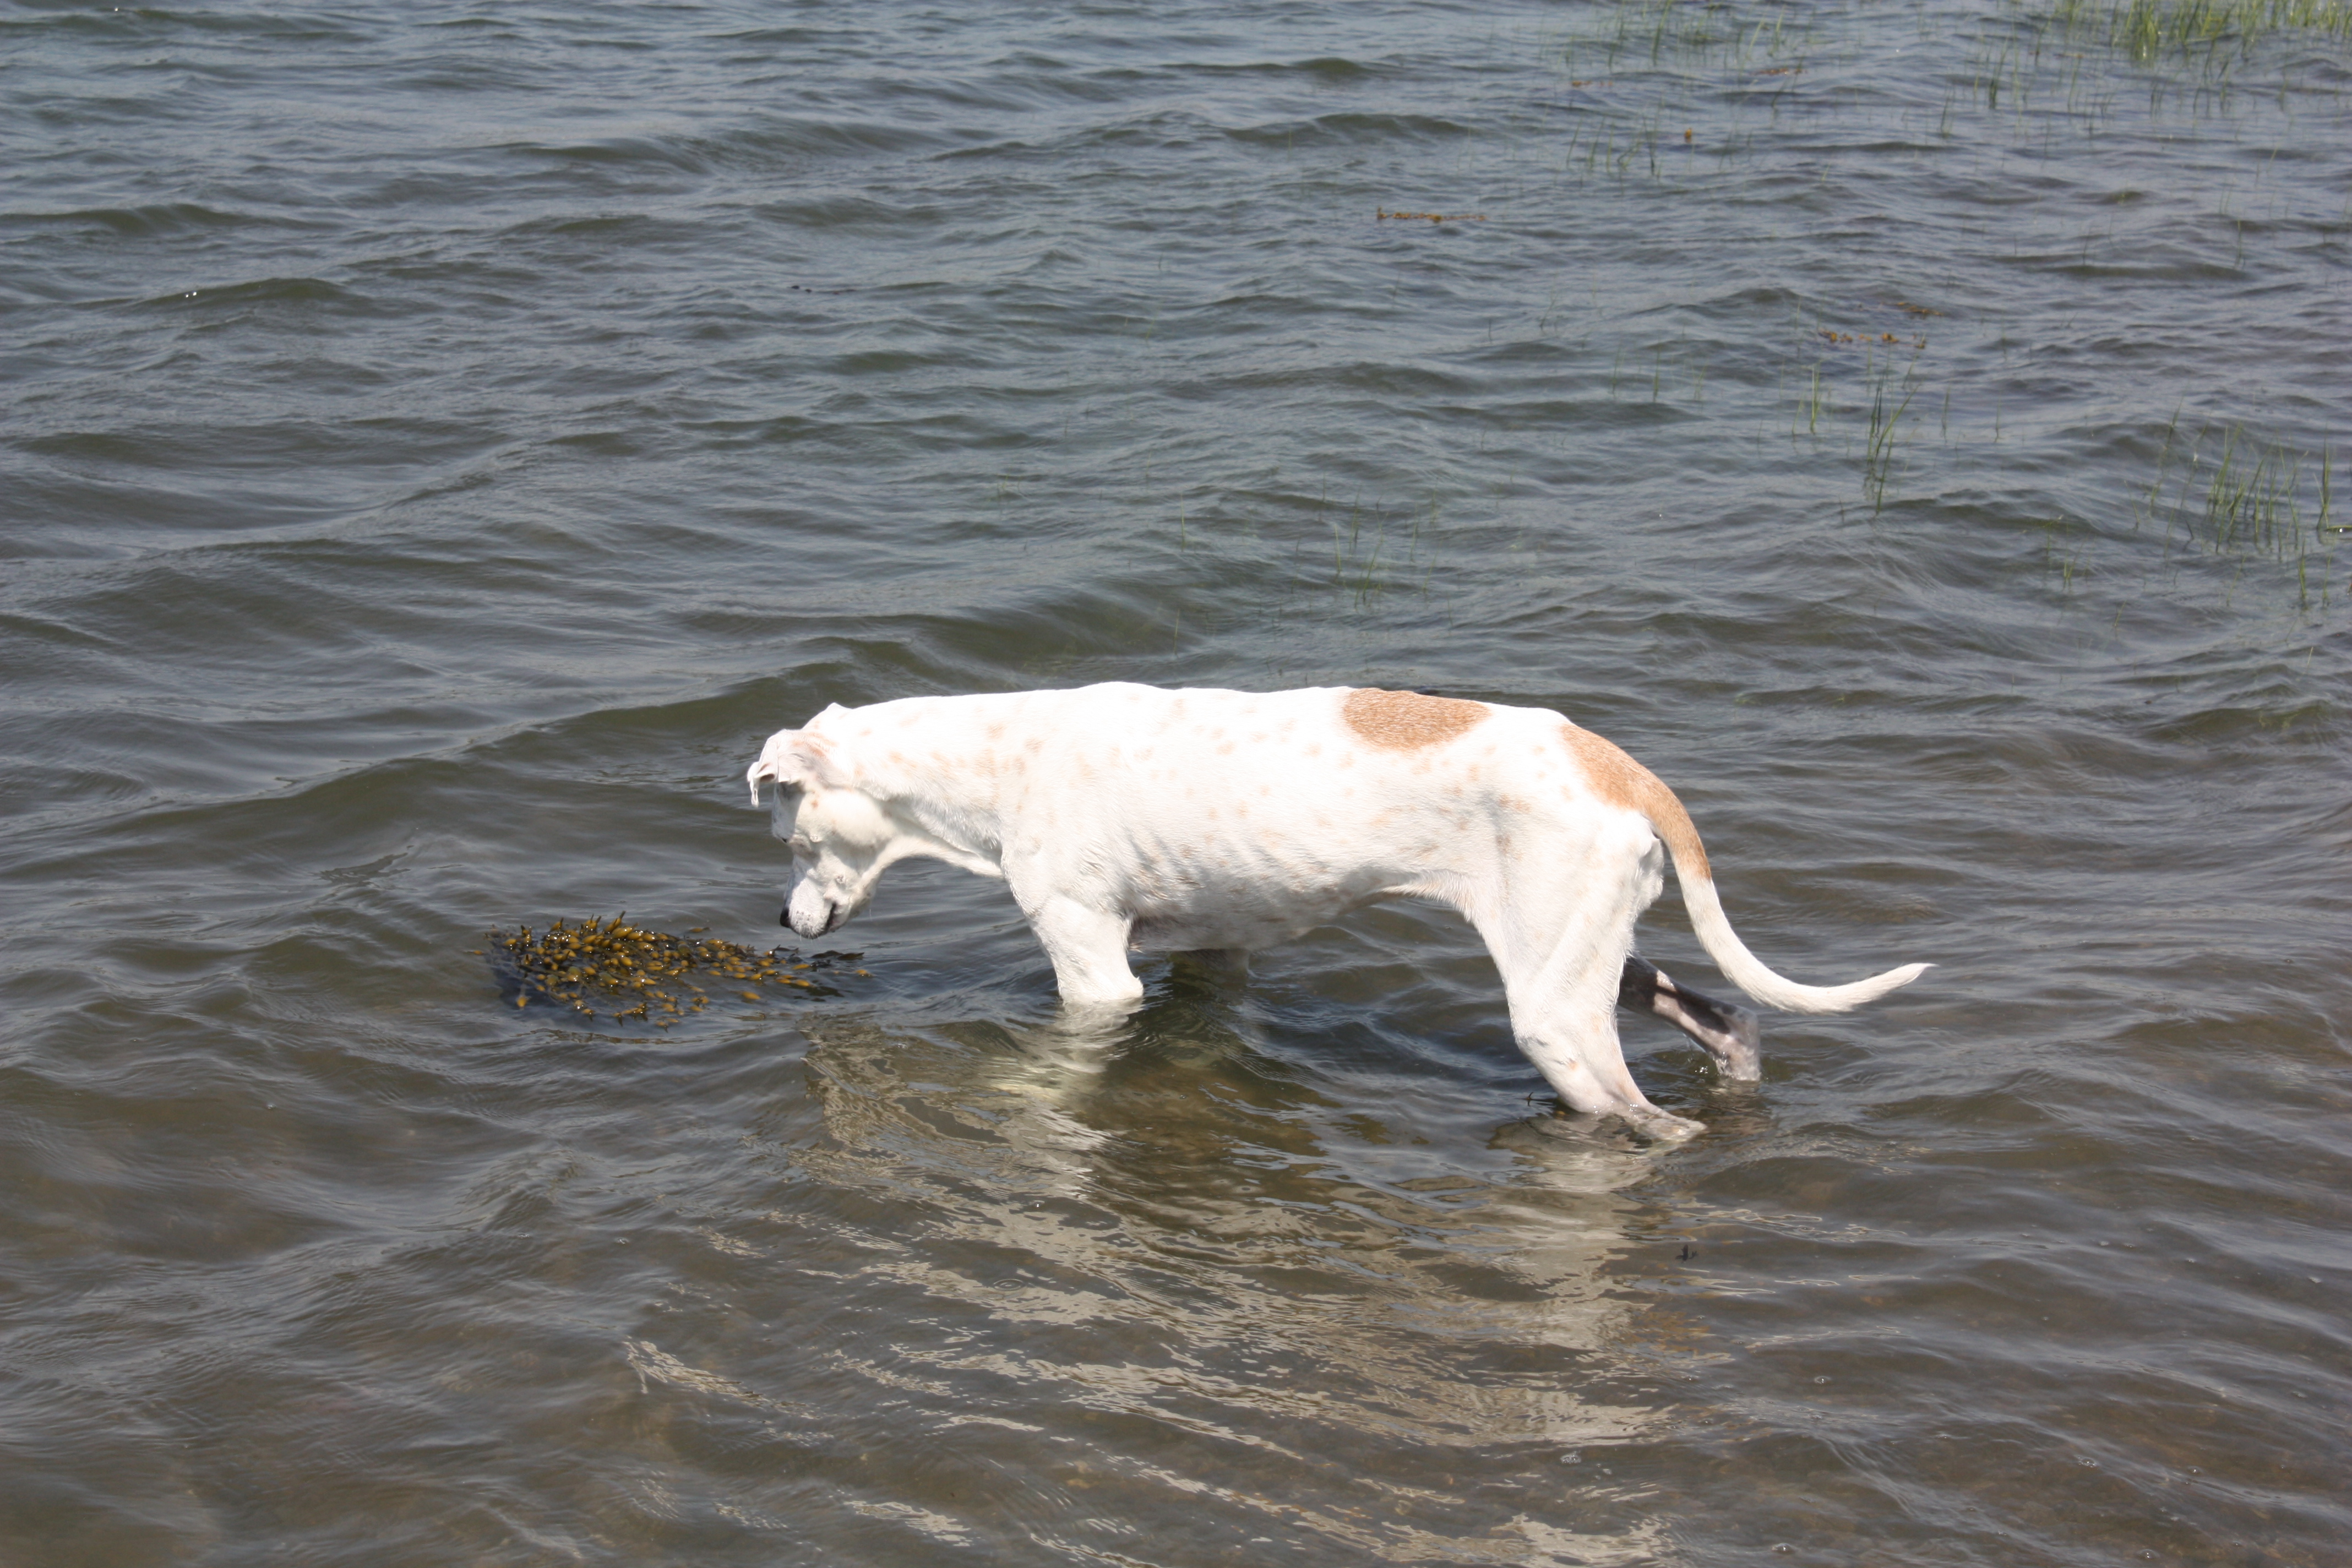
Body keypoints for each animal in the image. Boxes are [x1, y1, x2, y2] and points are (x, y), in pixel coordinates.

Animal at [746, 684, 1926, 1140]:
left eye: (793, 836)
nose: (788, 925)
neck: (1002, 760)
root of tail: (1620, 766)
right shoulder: (1209, 957)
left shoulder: (1093, 971)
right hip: (1586, 957)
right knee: (1728, 1018)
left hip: (1553, 1015)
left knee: (1651, 1121)